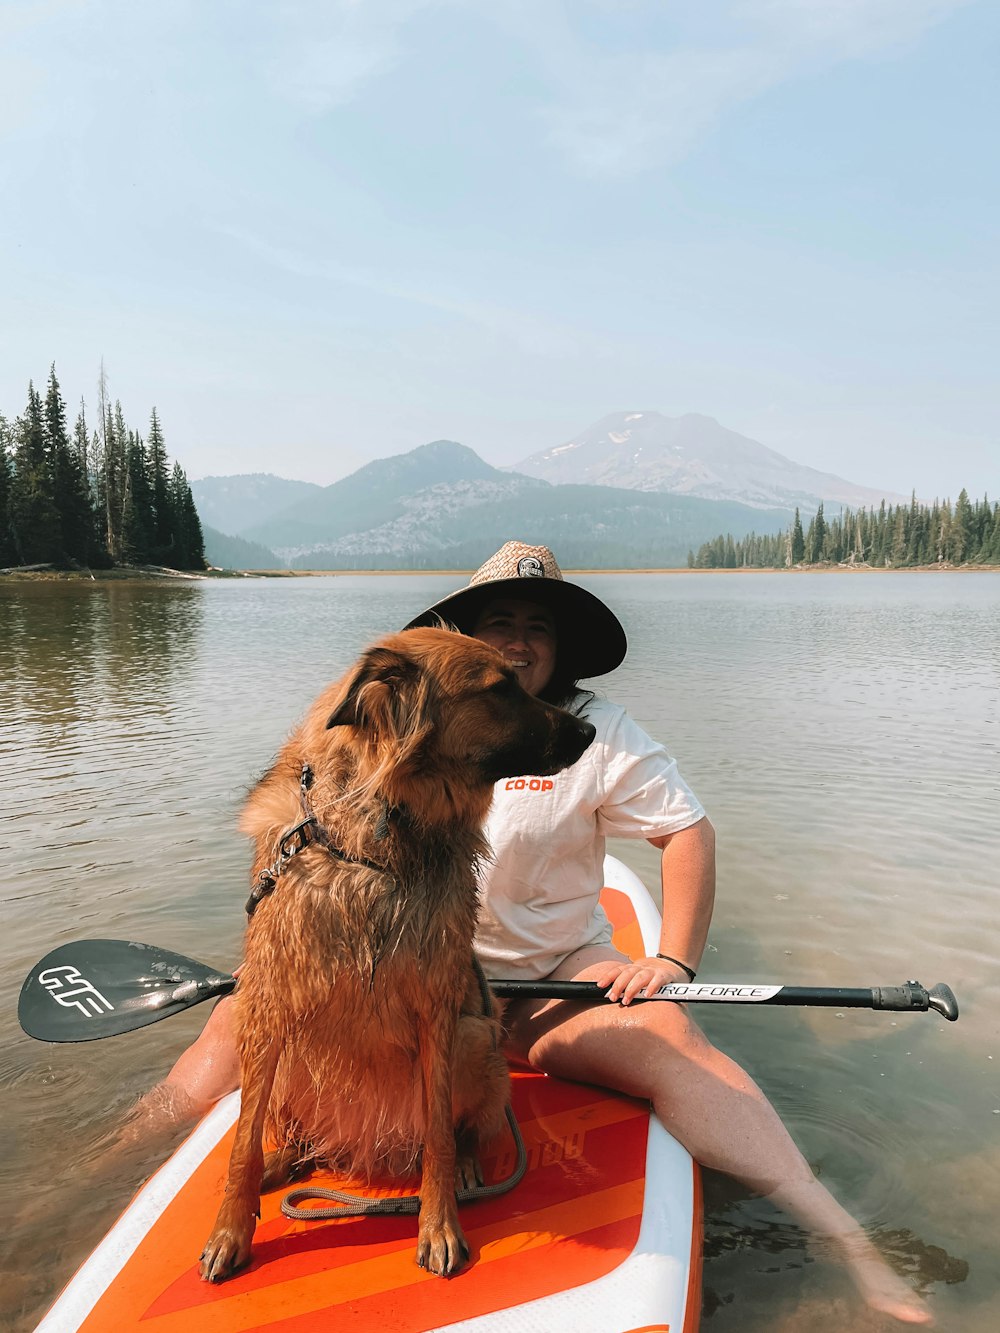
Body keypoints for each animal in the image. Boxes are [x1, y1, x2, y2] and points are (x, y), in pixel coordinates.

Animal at [200, 629, 600, 1285]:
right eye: (501, 689)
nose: (589, 731)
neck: (369, 840)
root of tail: (359, 1147)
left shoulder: (436, 1006)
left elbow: (438, 1132)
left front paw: (438, 1225)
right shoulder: (268, 1001)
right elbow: (241, 1140)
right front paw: (230, 1231)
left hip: (472, 1037)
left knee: (463, 1129)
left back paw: (464, 1168)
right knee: (289, 1138)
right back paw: (282, 1162)